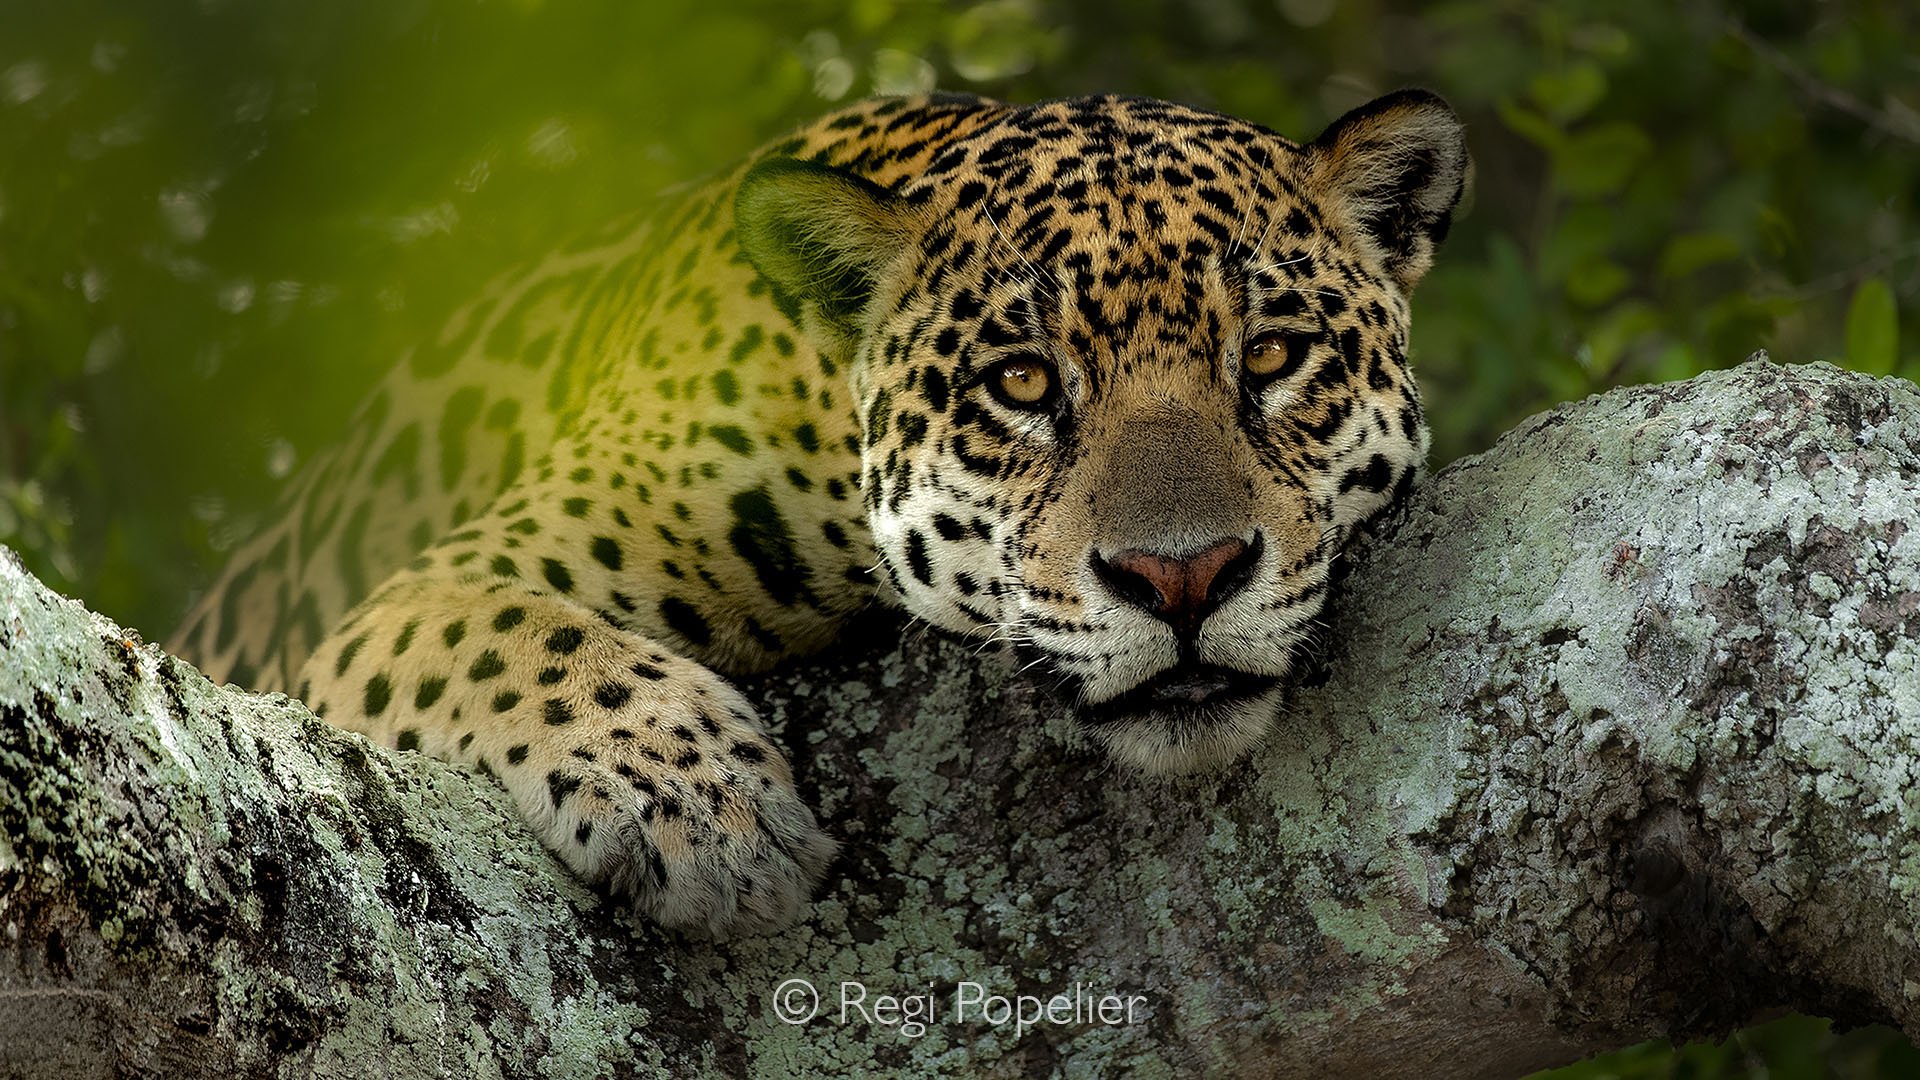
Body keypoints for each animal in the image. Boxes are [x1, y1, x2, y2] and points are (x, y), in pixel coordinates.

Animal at [170, 89, 1470, 938]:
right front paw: (699, 807)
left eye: (1275, 355)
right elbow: (507, 636)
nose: (1185, 578)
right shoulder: (395, 604)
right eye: (1023, 382)